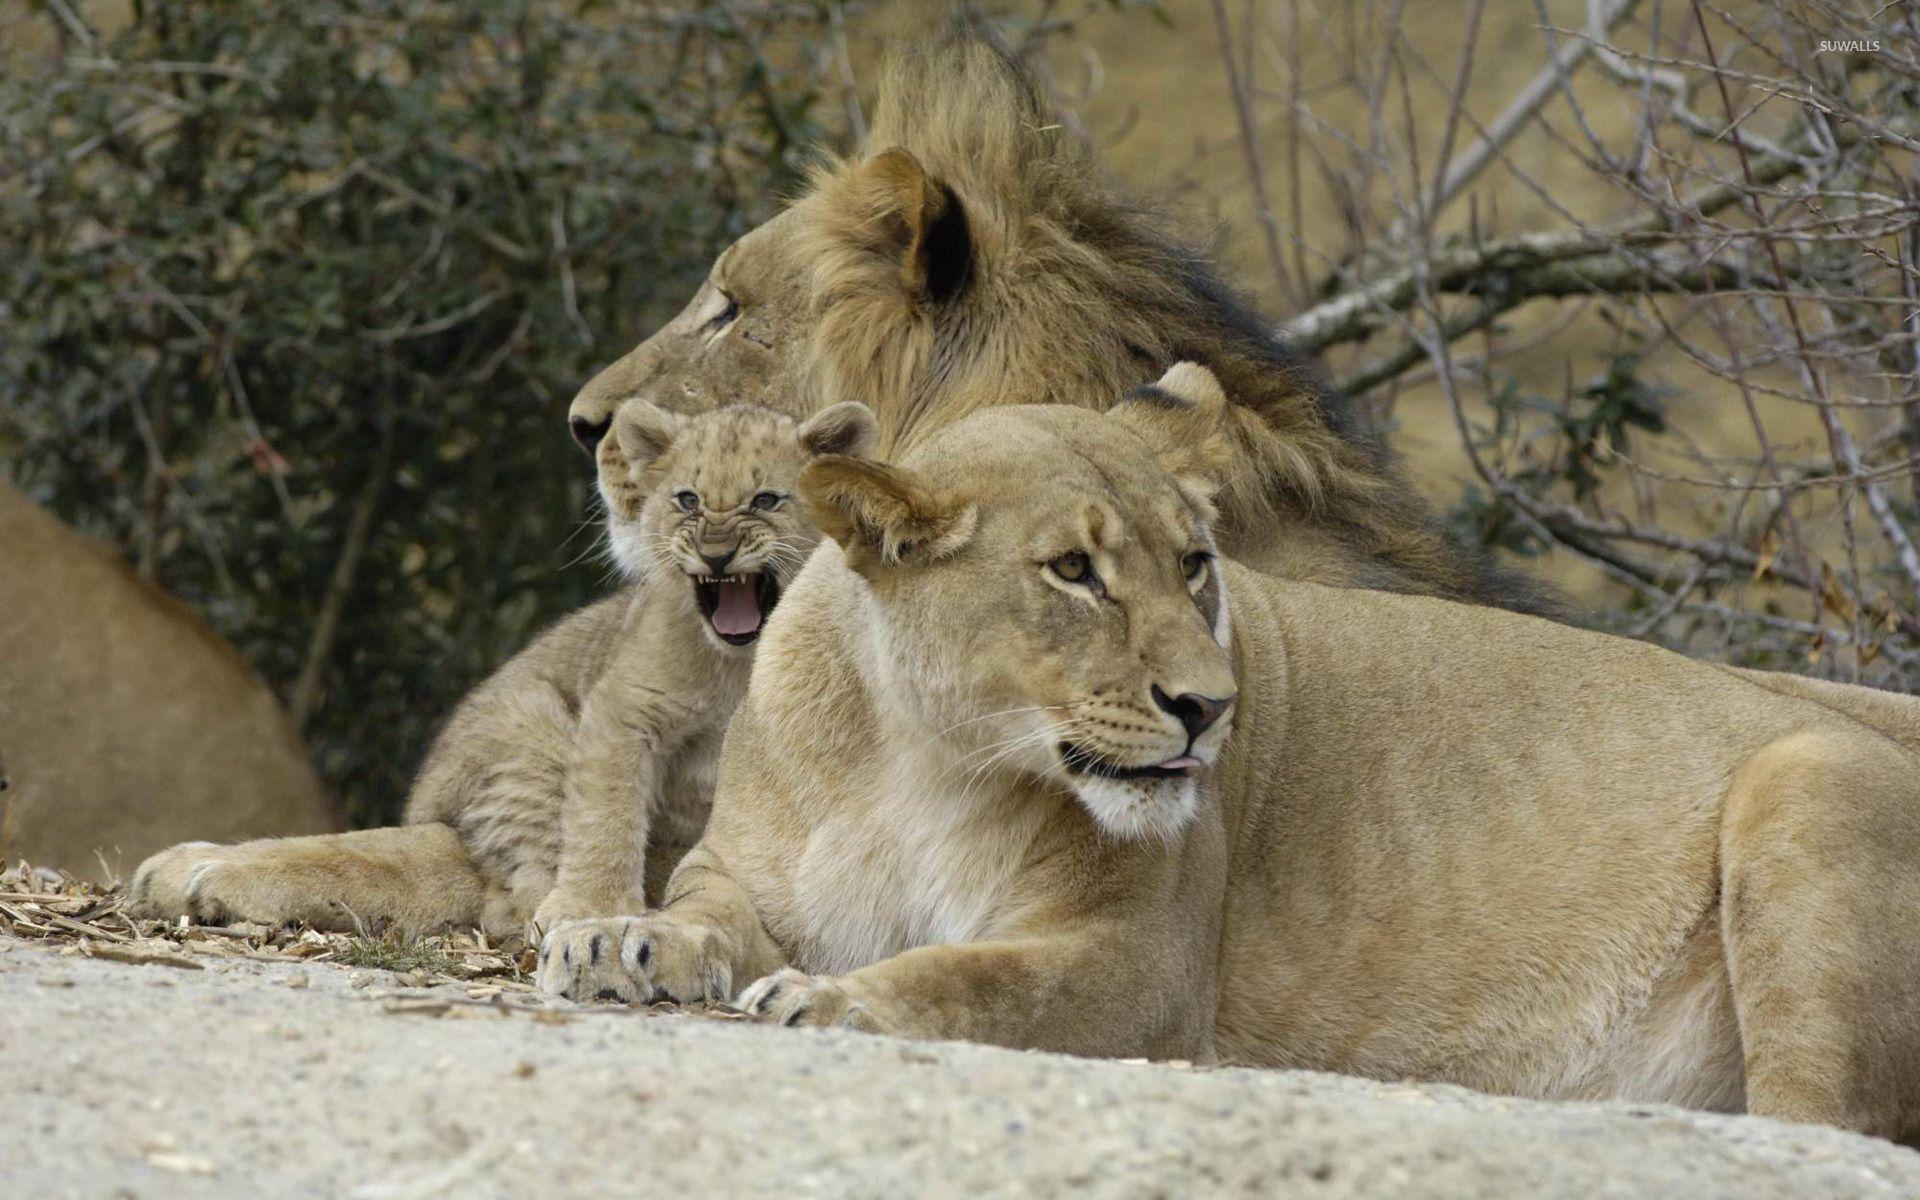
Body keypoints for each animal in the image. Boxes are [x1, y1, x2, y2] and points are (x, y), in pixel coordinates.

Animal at [128, 399, 876, 937]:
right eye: (688, 500)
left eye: (766, 501)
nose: (717, 553)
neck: (734, 662)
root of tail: (430, 810)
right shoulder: (621, 707)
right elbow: (608, 816)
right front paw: (595, 909)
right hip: (530, 727)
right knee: (505, 900)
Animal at [541, 364, 1920, 1143]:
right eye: (1074, 571)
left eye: (1194, 562)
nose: (1210, 708)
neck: (925, 759)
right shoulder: (752, 871)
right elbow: (699, 910)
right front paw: (619, 939)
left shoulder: (1142, 963)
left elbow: (974, 979)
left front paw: (836, 999)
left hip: (1804, 778)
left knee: (1833, 1125)